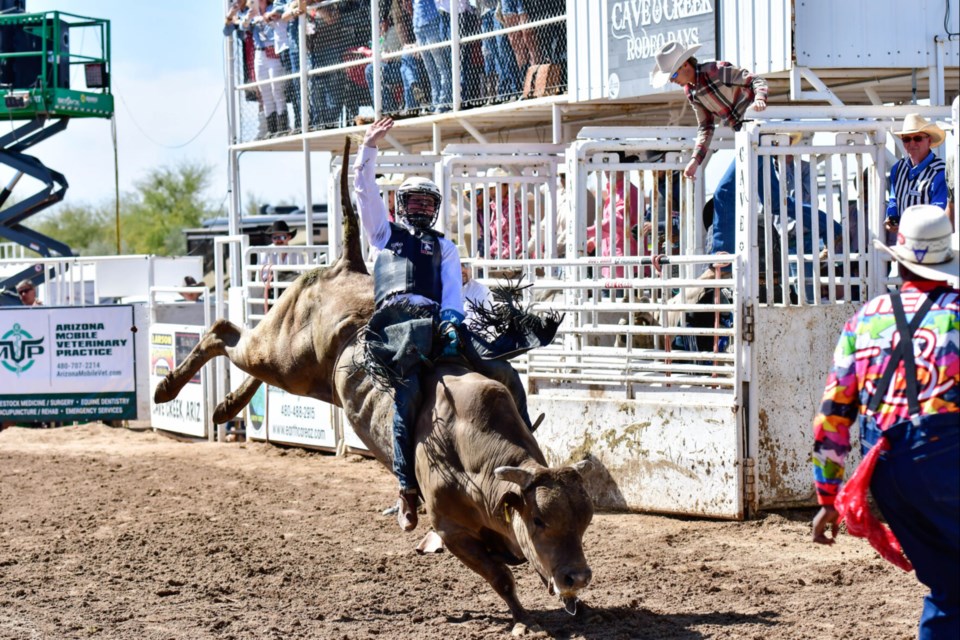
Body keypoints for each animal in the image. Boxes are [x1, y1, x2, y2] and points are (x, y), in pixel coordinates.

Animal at [155, 139, 592, 620]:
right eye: (539, 519)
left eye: (586, 520)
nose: (578, 577)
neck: (474, 452)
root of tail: (348, 262)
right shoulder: (454, 530)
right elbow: (500, 576)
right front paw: (522, 617)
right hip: (286, 354)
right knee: (223, 332)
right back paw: (167, 388)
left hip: (304, 375)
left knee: (241, 348)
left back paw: (225, 407)